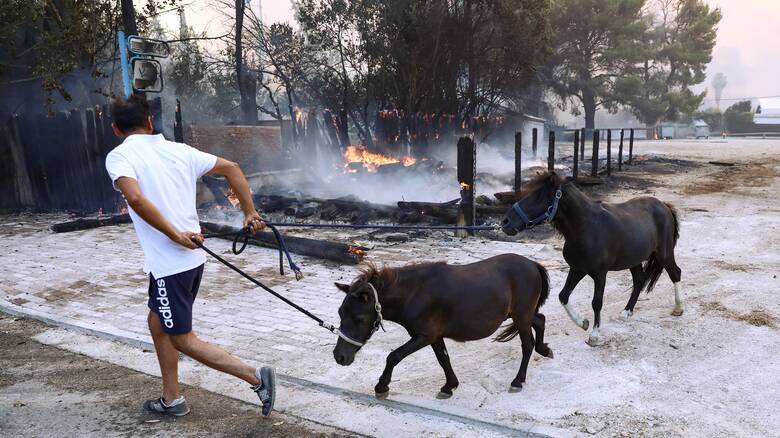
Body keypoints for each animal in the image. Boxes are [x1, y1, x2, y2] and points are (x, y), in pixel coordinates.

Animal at [332, 255, 552, 398]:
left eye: (359, 318)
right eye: (340, 313)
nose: (339, 356)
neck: (416, 292)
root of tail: (533, 264)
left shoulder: (425, 335)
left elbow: (394, 356)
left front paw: (382, 386)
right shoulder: (435, 336)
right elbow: (443, 359)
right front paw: (449, 386)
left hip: (521, 316)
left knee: (527, 344)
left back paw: (518, 381)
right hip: (521, 315)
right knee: (540, 320)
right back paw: (545, 349)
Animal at [502, 171, 680, 346]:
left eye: (539, 195)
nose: (506, 222)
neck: (587, 227)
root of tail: (664, 205)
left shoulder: (600, 274)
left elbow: (597, 302)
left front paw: (594, 335)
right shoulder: (577, 269)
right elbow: (563, 296)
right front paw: (583, 323)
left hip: (664, 254)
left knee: (675, 273)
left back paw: (678, 309)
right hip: (634, 260)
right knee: (639, 280)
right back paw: (626, 312)